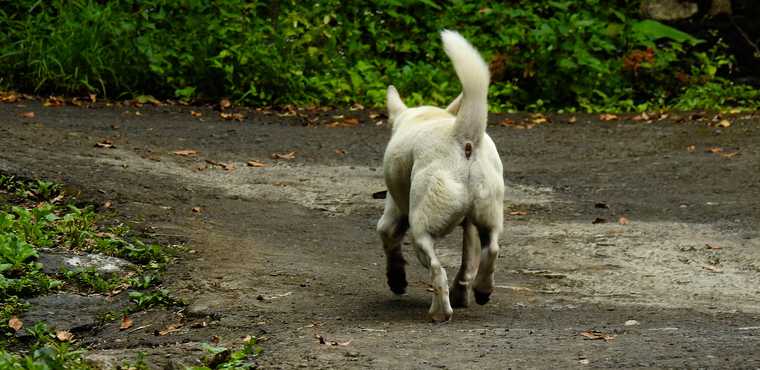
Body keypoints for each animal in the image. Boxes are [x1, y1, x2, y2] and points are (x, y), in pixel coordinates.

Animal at [378, 31, 504, 320]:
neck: (426, 116)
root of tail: (462, 136)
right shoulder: (470, 226)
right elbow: (468, 262)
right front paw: (465, 293)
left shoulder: (393, 213)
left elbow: (388, 239)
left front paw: (396, 279)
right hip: (488, 215)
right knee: (490, 250)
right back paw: (481, 290)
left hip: (421, 228)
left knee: (437, 270)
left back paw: (439, 312)